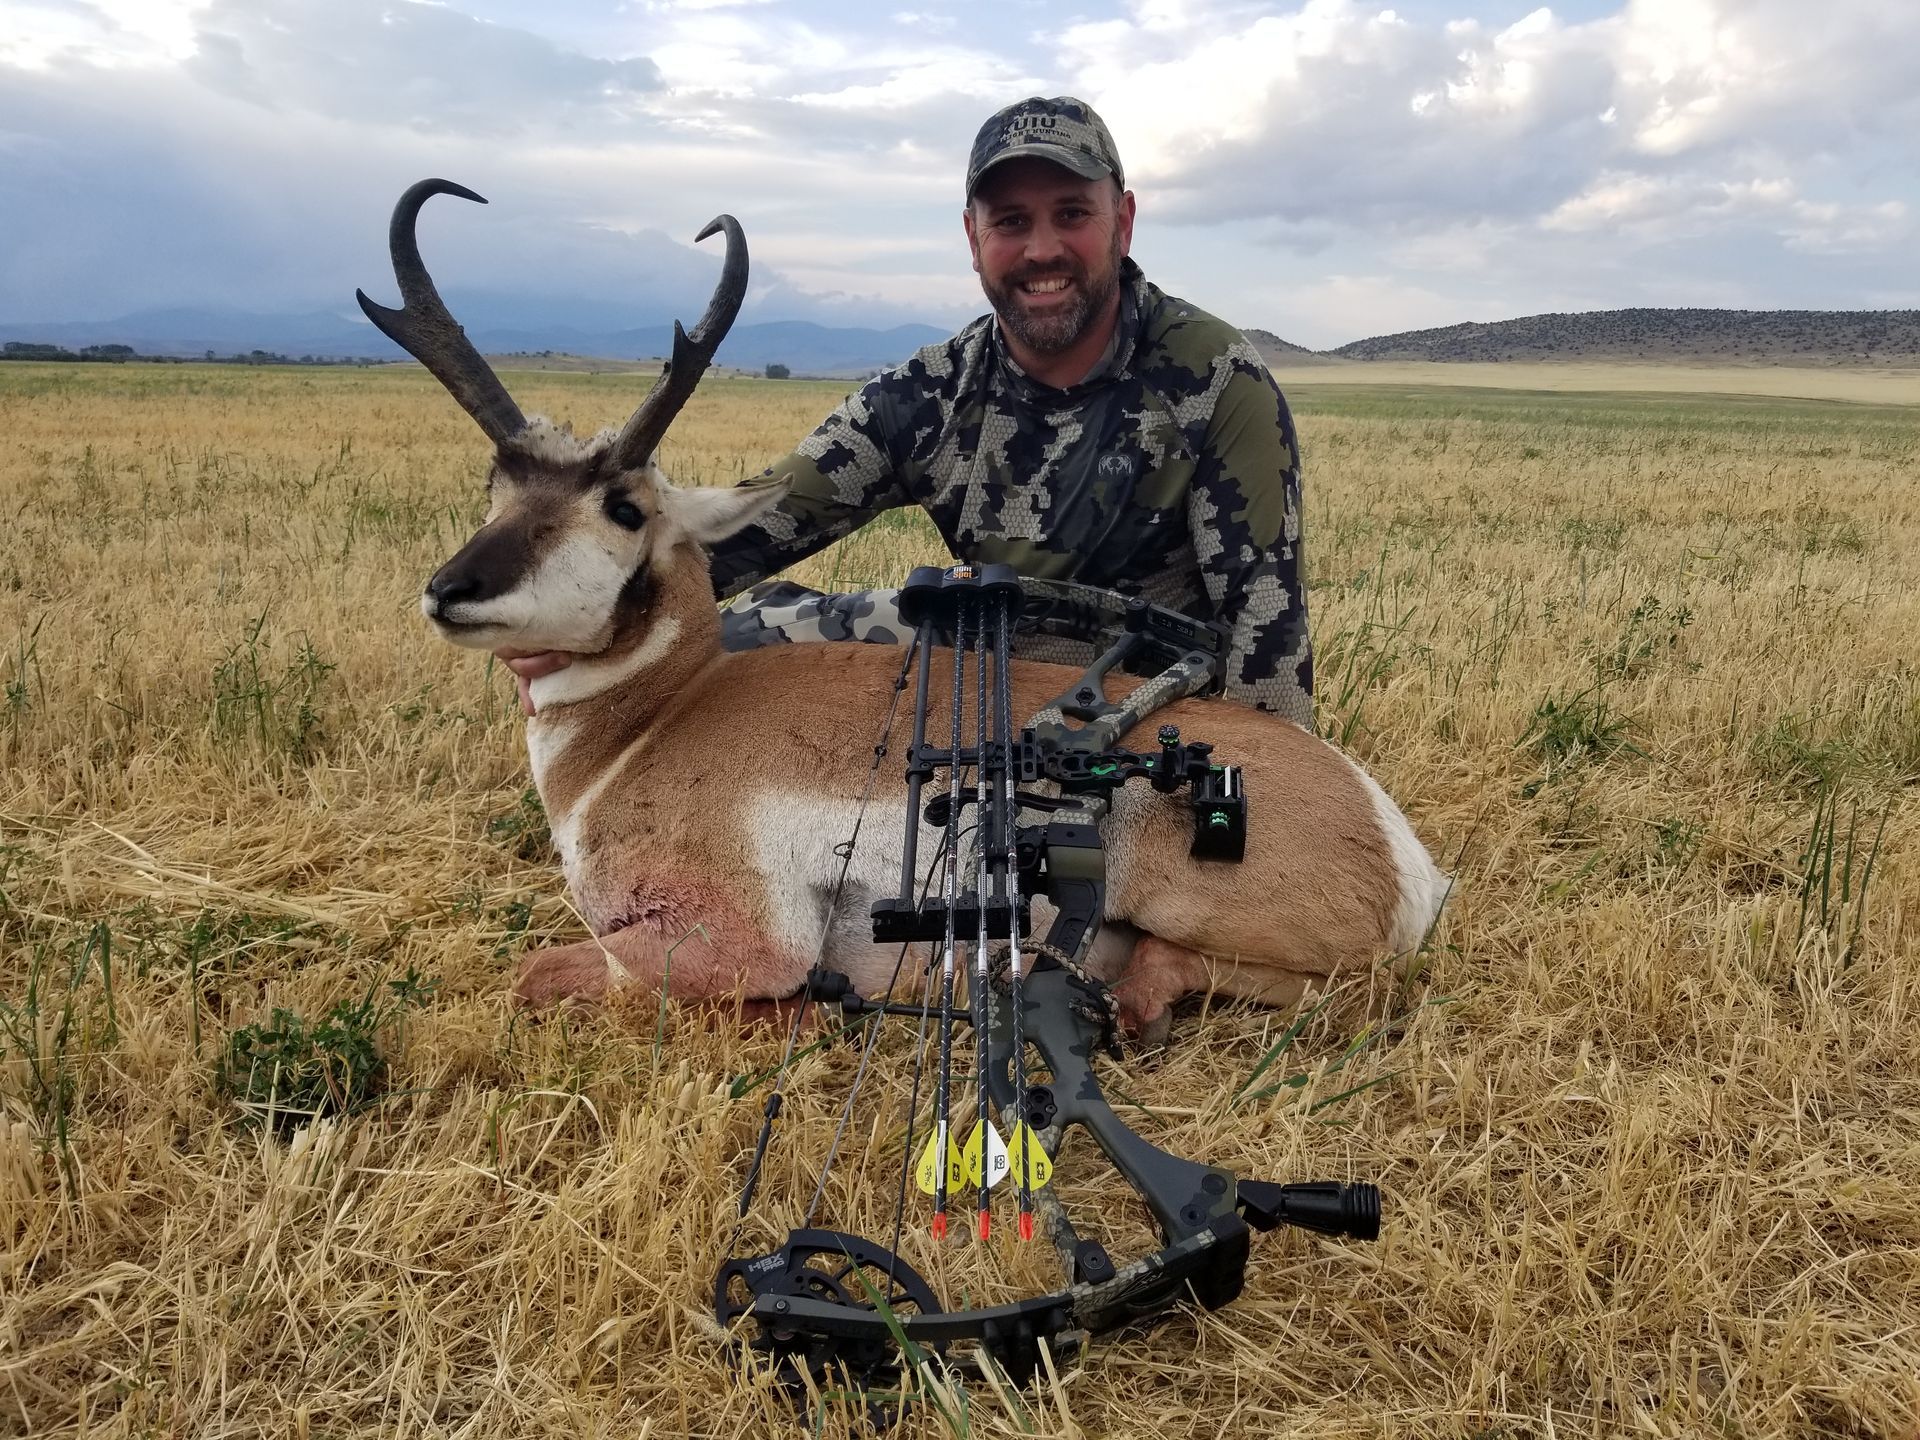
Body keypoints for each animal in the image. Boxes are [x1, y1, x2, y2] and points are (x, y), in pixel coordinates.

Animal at [361, 180, 1449, 1038]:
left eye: (624, 507)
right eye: (498, 486)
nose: (450, 591)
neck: (651, 724)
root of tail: (1395, 842)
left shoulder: (726, 940)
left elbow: (537, 971)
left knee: (1345, 989)